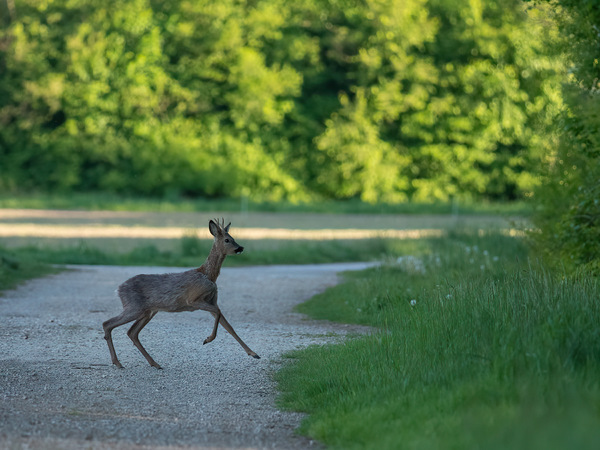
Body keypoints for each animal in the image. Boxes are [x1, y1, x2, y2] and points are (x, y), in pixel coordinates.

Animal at [101, 218, 260, 370]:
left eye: (233, 237)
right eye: (227, 240)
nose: (240, 248)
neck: (208, 275)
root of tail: (119, 289)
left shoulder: (212, 300)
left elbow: (228, 326)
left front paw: (254, 353)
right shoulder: (194, 300)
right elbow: (218, 313)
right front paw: (207, 339)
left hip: (148, 311)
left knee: (132, 332)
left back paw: (154, 364)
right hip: (134, 307)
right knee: (108, 324)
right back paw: (118, 363)